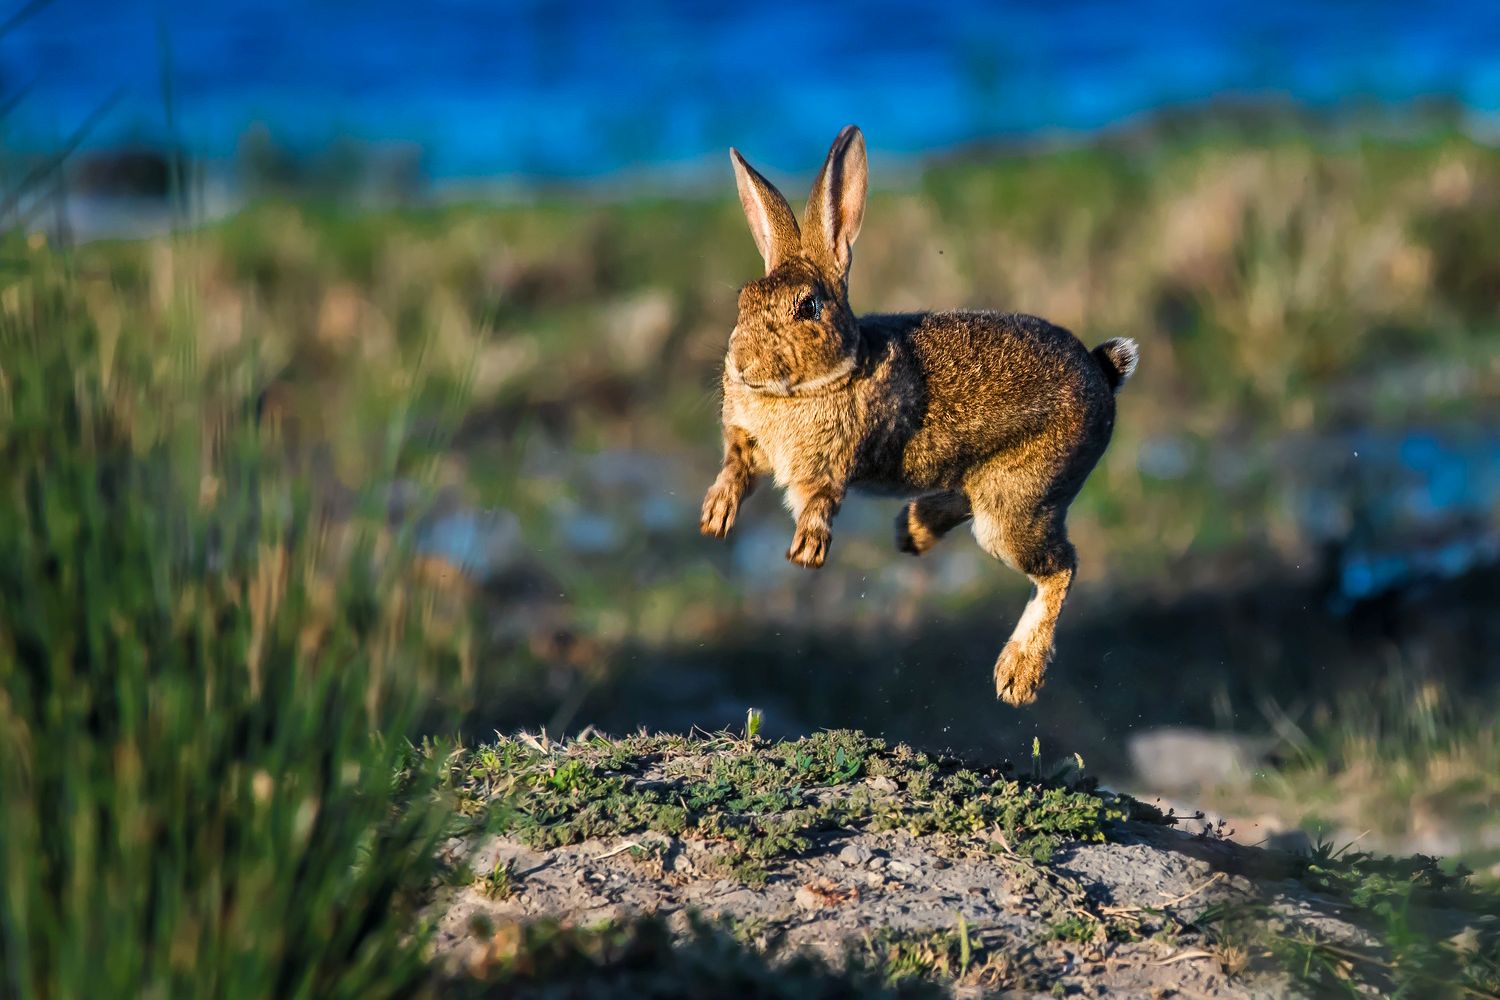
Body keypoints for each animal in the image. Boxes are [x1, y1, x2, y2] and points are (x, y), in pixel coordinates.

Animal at [702, 122, 1134, 704]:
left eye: (808, 307)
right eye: (744, 300)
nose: (743, 364)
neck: (816, 380)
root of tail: (1103, 376)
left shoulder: (831, 464)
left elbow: (819, 501)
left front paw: (805, 552)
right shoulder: (748, 443)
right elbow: (735, 467)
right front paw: (715, 518)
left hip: (1019, 503)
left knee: (1059, 566)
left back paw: (1017, 676)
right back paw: (912, 531)